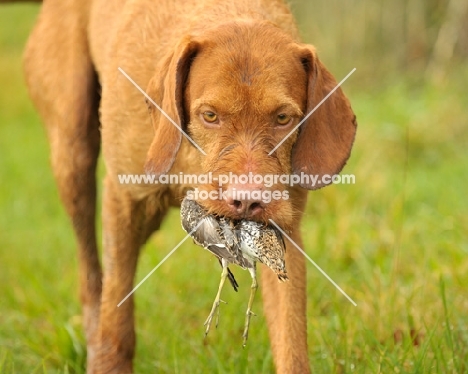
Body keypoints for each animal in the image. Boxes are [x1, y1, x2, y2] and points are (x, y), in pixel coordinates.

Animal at [22, 0, 356, 372]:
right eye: (209, 115)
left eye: (284, 118)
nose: (247, 201)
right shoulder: (124, 199)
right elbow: (116, 315)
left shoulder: (282, 232)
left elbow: (292, 341)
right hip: (73, 155)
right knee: (92, 275)